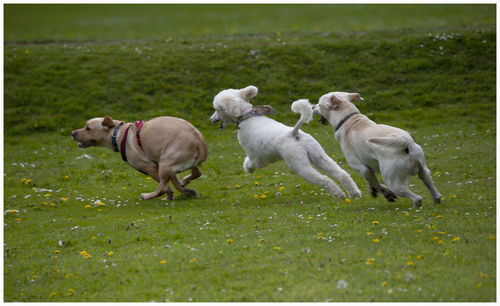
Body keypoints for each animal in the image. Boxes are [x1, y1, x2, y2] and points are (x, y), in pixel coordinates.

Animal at [71, 116, 208, 200]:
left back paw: (147, 196)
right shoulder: (166, 168)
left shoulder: (152, 167)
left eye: (88, 128)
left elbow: (166, 187)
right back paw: (186, 181)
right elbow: (176, 184)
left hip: (165, 164)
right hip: (171, 163)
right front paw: (186, 191)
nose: (72, 133)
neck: (118, 133)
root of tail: (199, 140)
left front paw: (171, 195)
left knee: (162, 187)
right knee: (197, 172)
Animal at [209, 85, 362, 200]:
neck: (247, 116)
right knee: (341, 173)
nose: (211, 119)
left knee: (324, 179)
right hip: (318, 155)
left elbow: (250, 163)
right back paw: (354, 193)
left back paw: (339, 195)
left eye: (217, 109)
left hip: (298, 164)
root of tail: (293, 133)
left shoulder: (256, 157)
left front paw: (249, 169)